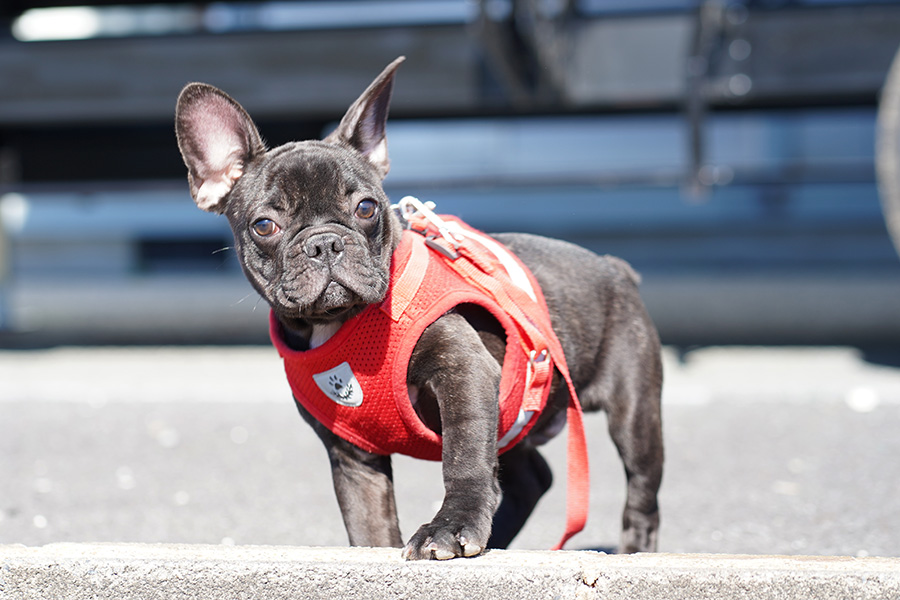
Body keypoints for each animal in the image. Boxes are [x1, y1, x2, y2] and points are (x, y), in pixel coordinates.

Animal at [174, 56, 660, 556]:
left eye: (367, 208)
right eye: (264, 225)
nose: (325, 242)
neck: (341, 324)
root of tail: (614, 267)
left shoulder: (464, 371)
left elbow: (464, 457)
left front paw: (452, 525)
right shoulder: (353, 456)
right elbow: (368, 524)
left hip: (633, 409)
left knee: (640, 486)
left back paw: (634, 549)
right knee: (531, 477)